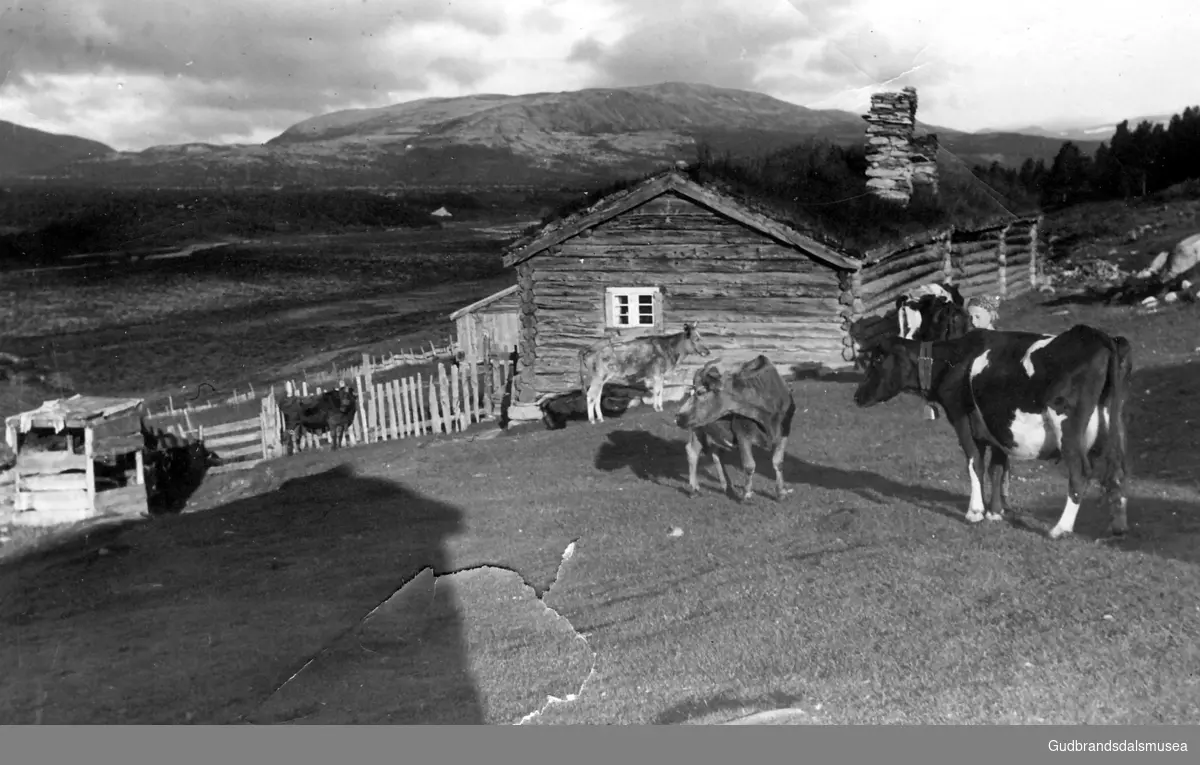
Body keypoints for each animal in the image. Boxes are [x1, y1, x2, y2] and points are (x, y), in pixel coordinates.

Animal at [576, 321, 705, 426]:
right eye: (696, 339)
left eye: (700, 337)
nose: (707, 351)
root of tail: (586, 349)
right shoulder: (658, 373)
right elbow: (658, 391)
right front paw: (658, 409)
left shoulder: (659, 374)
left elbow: (659, 390)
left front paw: (658, 408)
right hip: (599, 376)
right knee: (591, 395)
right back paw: (592, 420)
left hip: (600, 378)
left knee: (597, 396)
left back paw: (600, 419)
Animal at [676, 357, 796, 506]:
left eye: (700, 392)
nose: (678, 416)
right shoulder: (743, 433)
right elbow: (749, 465)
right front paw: (747, 496)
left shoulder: (784, 432)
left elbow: (778, 462)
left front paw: (781, 493)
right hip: (697, 427)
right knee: (692, 451)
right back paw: (694, 489)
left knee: (716, 453)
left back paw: (727, 487)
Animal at [854, 326, 1132, 541]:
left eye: (877, 360)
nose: (857, 396)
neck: (954, 360)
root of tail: (1097, 335)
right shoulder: (995, 425)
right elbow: (997, 468)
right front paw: (996, 512)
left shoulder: (961, 418)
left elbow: (974, 463)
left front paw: (976, 512)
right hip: (1114, 425)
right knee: (1117, 469)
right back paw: (1117, 526)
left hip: (1068, 426)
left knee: (1080, 471)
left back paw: (1060, 528)